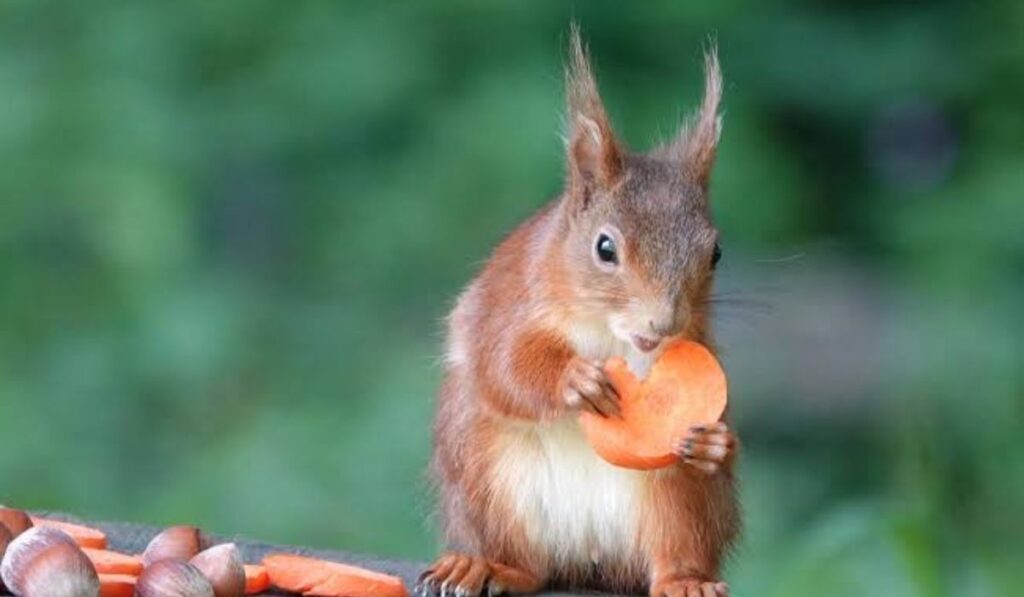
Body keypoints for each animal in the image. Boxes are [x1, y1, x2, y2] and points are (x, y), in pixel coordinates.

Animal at [421, 27, 739, 597]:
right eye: (604, 248)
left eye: (716, 252)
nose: (663, 324)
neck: (610, 335)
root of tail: (587, 562)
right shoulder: (509, 303)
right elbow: (502, 365)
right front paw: (575, 380)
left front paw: (714, 443)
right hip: (486, 475)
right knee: (522, 562)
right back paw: (487, 567)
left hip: (677, 506)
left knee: (678, 542)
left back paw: (686, 579)